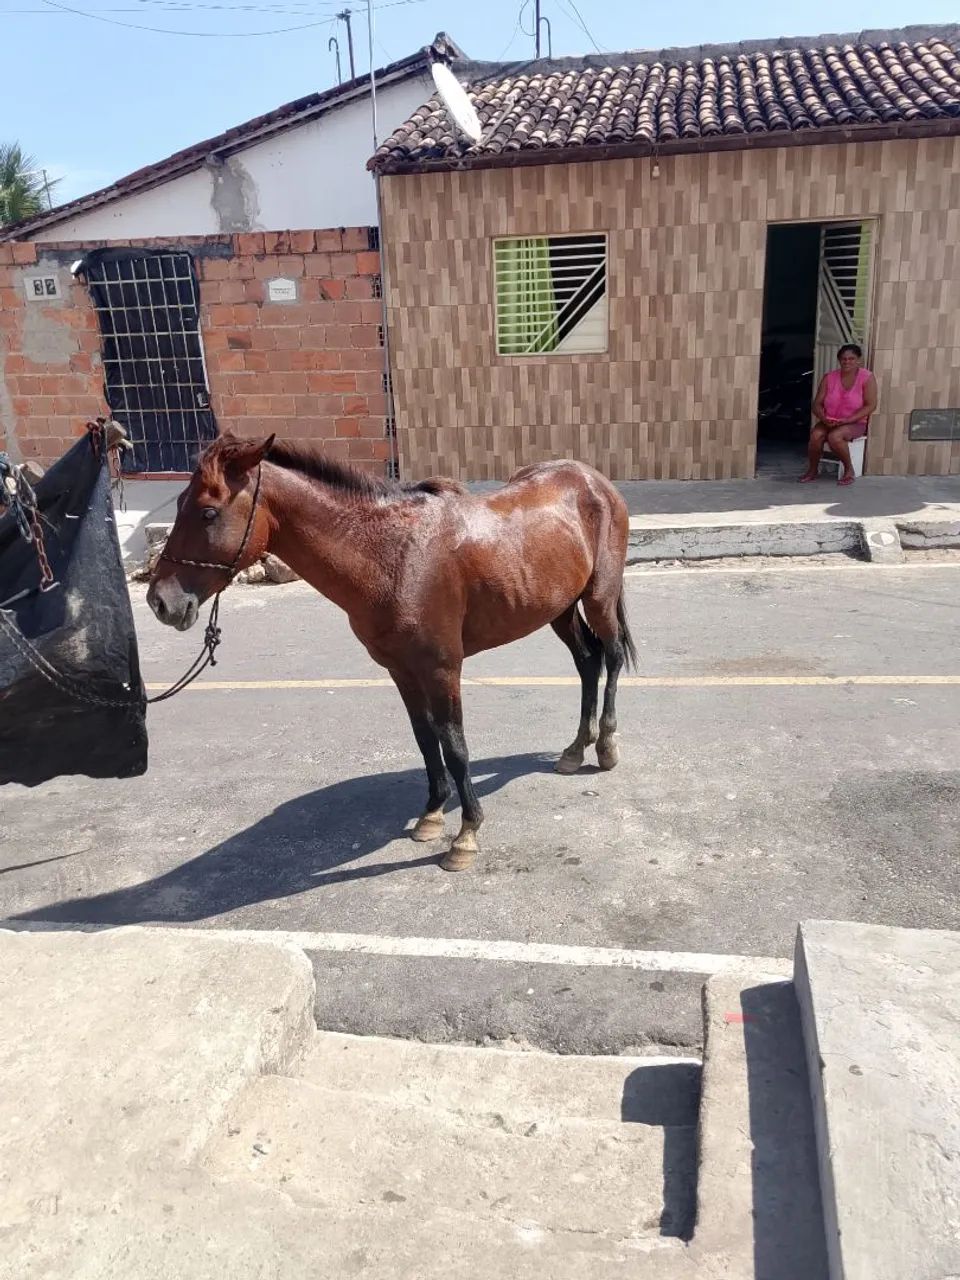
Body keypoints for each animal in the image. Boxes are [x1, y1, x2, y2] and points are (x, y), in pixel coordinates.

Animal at [147, 433, 637, 872]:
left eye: (208, 512)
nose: (160, 602)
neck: (394, 558)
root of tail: (593, 480)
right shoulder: (401, 670)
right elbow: (424, 739)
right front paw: (432, 815)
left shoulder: (442, 669)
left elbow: (454, 745)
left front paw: (466, 834)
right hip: (560, 608)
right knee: (587, 661)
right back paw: (574, 750)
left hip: (598, 596)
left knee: (611, 656)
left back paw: (606, 745)